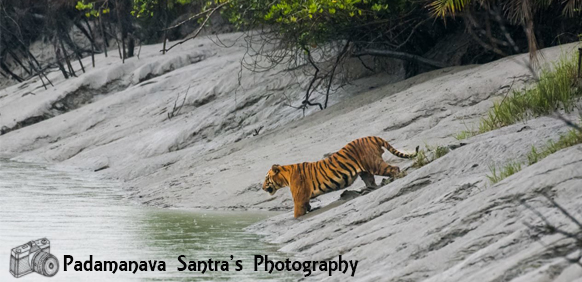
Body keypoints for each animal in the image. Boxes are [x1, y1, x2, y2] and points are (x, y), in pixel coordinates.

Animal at [264, 136, 420, 218]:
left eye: (266, 179)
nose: (262, 187)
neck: (285, 176)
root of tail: (372, 137)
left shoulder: (299, 200)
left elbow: (297, 213)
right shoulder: (304, 199)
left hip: (375, 165)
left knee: (394, 169)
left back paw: (396, 178)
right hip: (365, 172)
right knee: (371, 182)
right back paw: (367, 190)